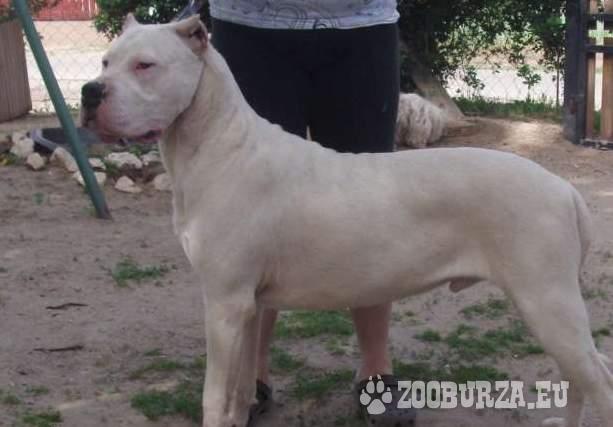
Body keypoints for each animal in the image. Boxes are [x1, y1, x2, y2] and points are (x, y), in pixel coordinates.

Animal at [81, 15, 613, 427]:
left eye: (145, 65)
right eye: (106, 61)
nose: (89, 92)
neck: (217, 146)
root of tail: (564, 188)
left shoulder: (224, 304)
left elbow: (214, 398)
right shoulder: (246, 308)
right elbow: (238, 394)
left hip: (547, 301)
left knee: (598, 378)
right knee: (581, 377)